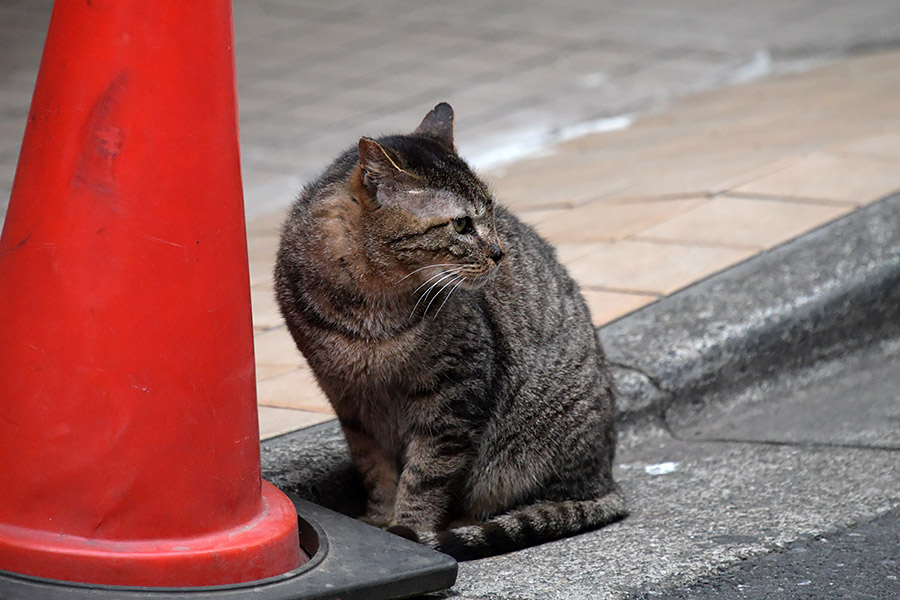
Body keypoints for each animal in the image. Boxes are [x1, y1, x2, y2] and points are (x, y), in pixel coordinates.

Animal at [274, 102, 624, 556]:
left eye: (491, 211)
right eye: (461, 225)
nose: (499, 252)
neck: (370, 304)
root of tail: (606, 481)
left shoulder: (453, 395)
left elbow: (426, 476)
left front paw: (408, 528)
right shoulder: (350, 401)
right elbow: (375, 470)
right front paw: (379, 521)